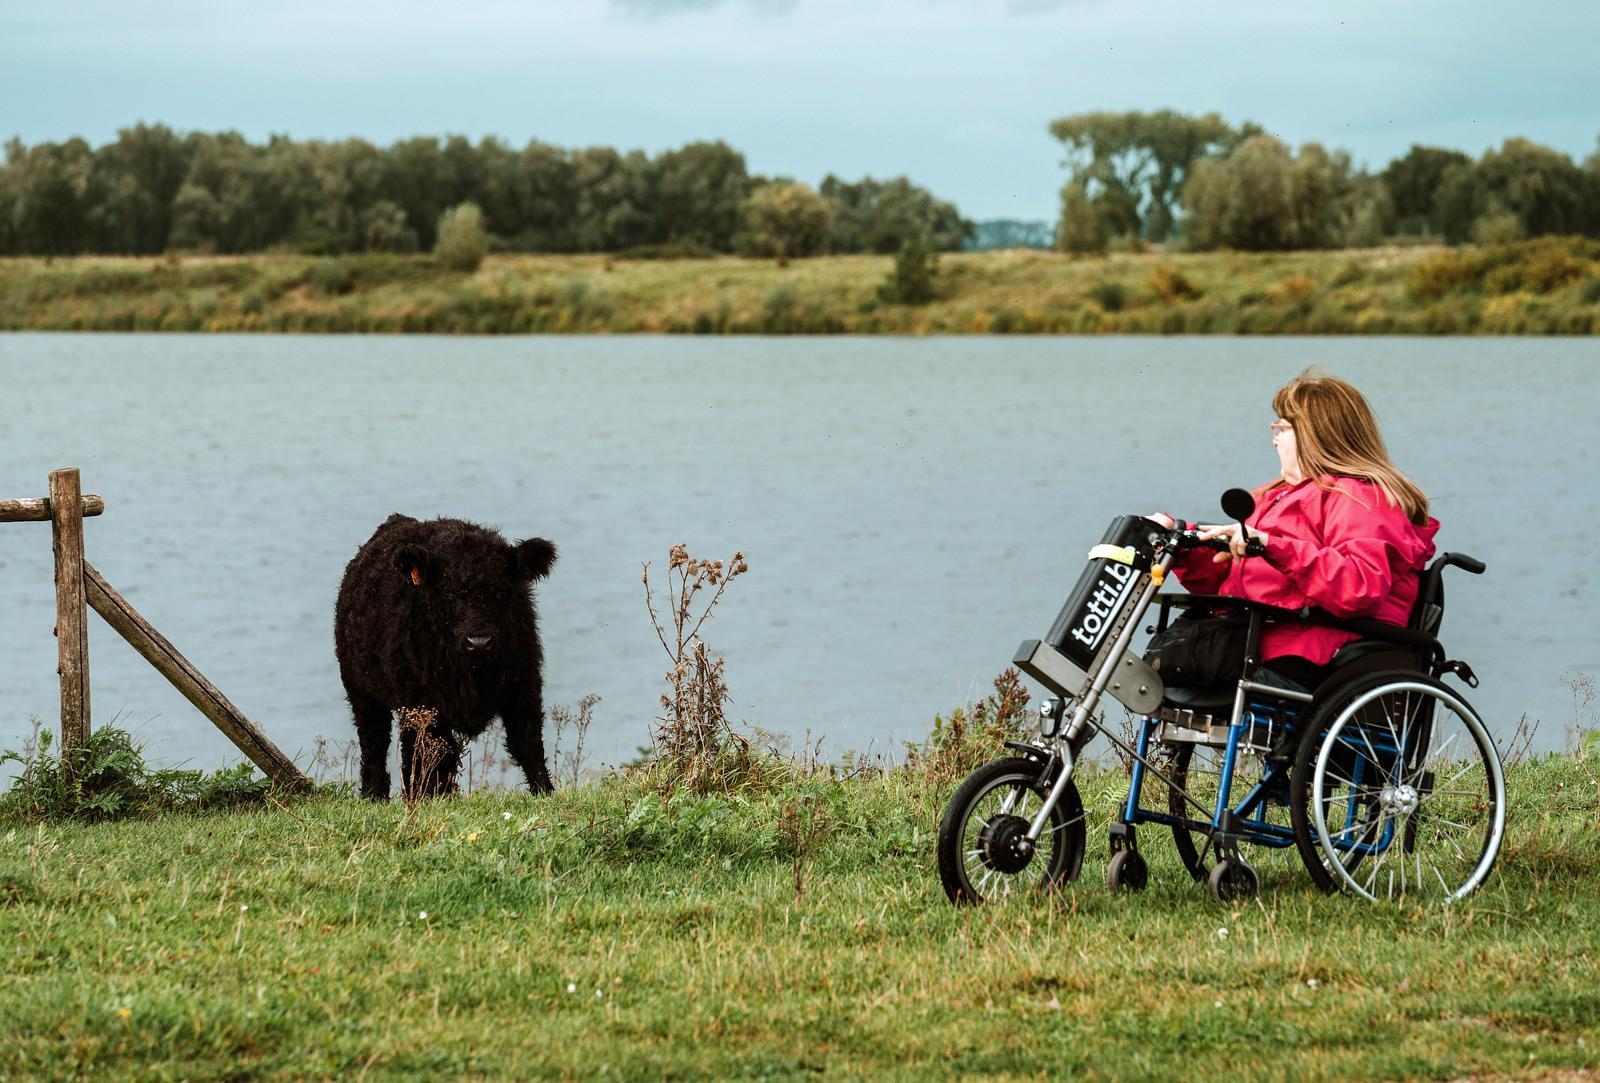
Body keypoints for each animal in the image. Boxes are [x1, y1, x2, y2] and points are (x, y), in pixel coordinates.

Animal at [332, 515, 556, 793]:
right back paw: (376, 793)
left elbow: (528, 743)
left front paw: (545, 792)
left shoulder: (524, 684)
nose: (479, 641)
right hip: (361, 690)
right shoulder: (421, 701)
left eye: (500, 591)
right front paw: (428, 796)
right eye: (449, 592)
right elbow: (433, 753)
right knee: (376, 743)